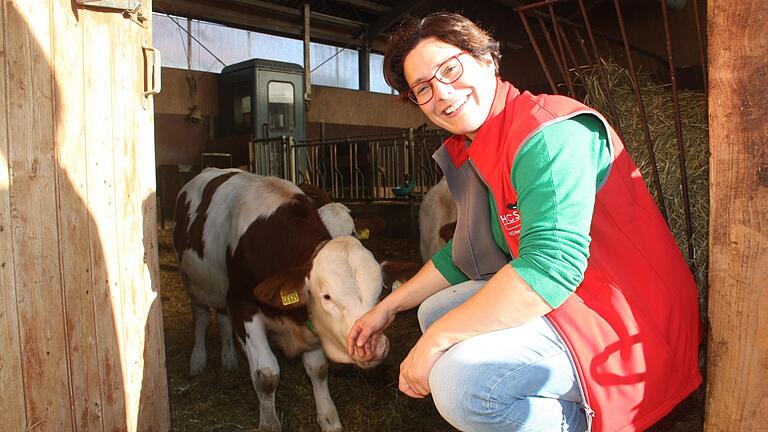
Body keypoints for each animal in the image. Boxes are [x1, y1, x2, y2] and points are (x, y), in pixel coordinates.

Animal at [175, 169, 390, 432]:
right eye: (327, 296)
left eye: (379, 292)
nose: (373, 345)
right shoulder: (242, 304)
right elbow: (267, 374)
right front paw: (269, 422)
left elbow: (318, 369)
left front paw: (329, 419)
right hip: (191, 279)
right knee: (202, 315)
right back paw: (197, 362)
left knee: (223, 316)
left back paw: (228, 358)